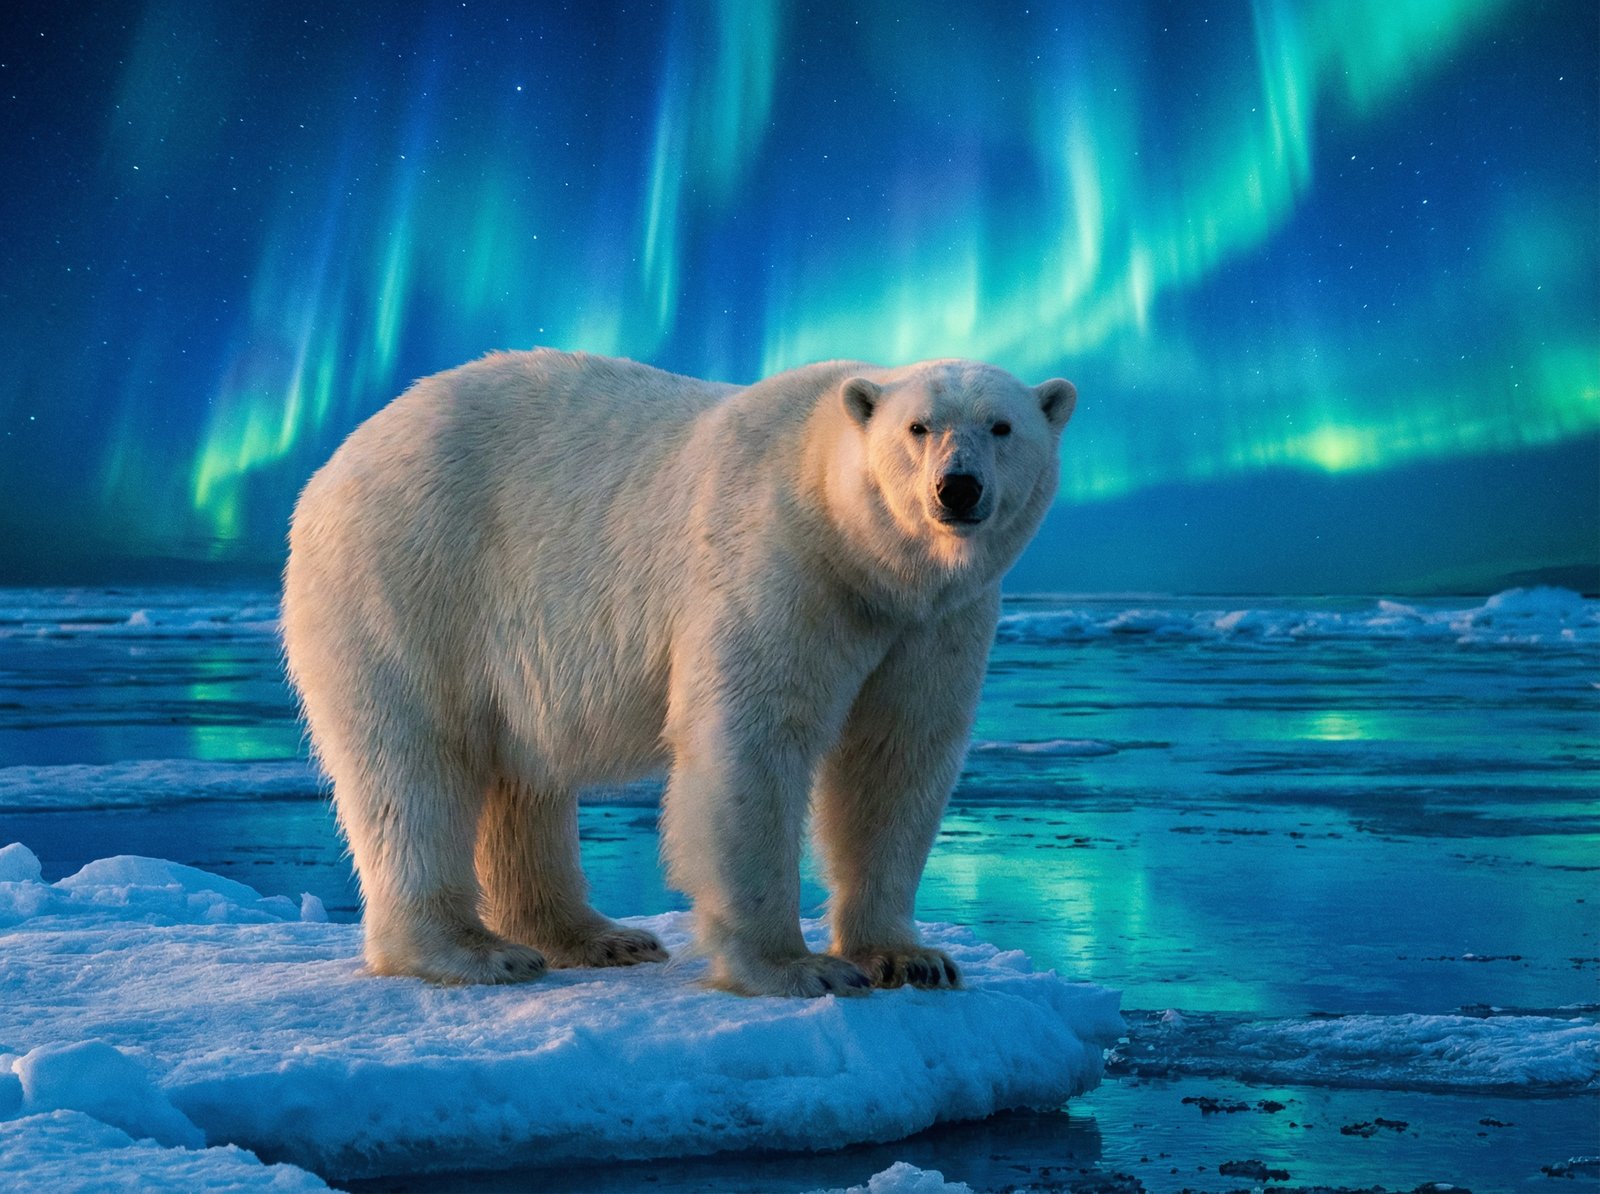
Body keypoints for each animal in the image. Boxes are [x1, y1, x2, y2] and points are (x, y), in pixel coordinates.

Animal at [281, 350, 1076, 996]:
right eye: (918, 427)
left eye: (1002, 427)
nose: (957, 489)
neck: (863, 555)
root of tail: (337, 459)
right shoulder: (782, 561)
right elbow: (754, 740)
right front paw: (797, 968)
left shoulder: (934, 622)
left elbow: (897, 755)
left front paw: (911, 958)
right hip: (411, 575)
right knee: (412, 762)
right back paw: (472, 951)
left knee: (521, 779)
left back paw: (596, 936)